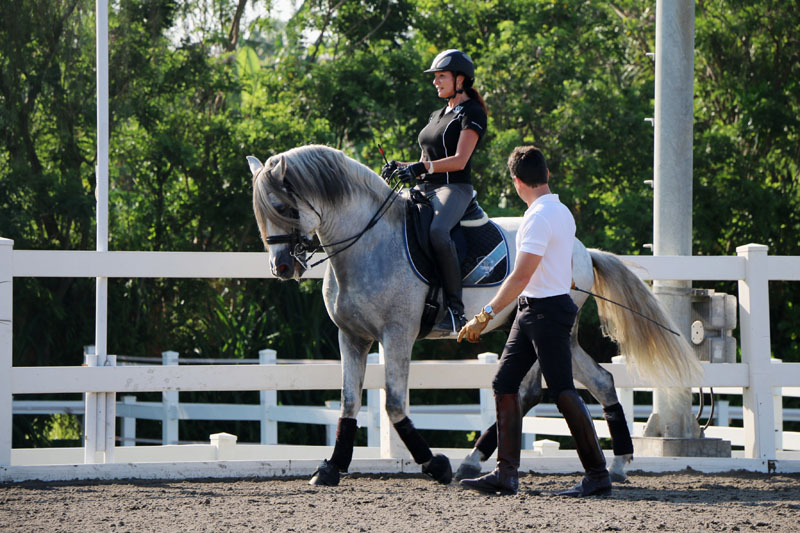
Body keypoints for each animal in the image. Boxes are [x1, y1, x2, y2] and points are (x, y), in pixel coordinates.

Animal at [248, 144, 703, 486]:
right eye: (260, 212)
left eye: (282, 206)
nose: (282, 267)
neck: (368, 242)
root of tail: (582, 250)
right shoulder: (352, 337)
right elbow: (347, 402)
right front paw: (330, 468)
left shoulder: (396, 334)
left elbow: (393, 403)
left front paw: (434, 463)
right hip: (549, 335)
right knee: (589, 383)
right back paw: (611, 463)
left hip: (544, 331)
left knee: (542, 389)